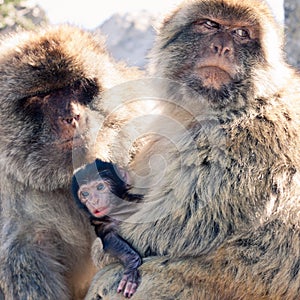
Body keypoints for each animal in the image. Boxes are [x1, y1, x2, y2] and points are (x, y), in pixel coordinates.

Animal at [72, 159, 144, 298]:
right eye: (85, 193)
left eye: (100, 187)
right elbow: (109, 237)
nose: (94, 200)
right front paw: (132, 265)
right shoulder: (102, 222)